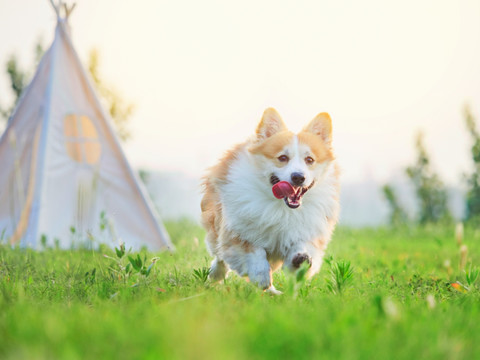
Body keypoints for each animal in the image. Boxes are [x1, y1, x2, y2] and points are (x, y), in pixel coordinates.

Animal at [201, 108, 340, 294]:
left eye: (309, 160)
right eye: (282, 158)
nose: (298, 177)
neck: (282, 207)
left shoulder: (309, 230)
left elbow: (302, 248)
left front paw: (300, 259)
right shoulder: (239, 228)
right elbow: (252, 252)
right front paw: (260, 276)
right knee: (220, 254)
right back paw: (216, 275)